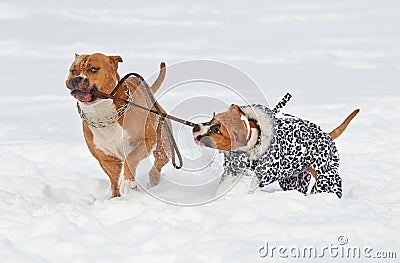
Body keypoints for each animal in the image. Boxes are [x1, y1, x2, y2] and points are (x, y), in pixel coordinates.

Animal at [66, 53, 172, 198]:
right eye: (73, 71)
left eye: (93, 69)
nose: (76, 79)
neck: (102, 113)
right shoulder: (106, 159)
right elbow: (114, 179)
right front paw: (116, 198)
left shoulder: (147, 140)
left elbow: (131, 158)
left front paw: (126, 182)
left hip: (164, 146)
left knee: (157, 165)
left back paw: (153, 182)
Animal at [192, 95, 358, 198]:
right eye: (211, 119)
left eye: (218, 130)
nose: (196, 127)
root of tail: (328, 135)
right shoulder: (232, 170)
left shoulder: (263, 174)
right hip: (294, 180)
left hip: (325, 174)